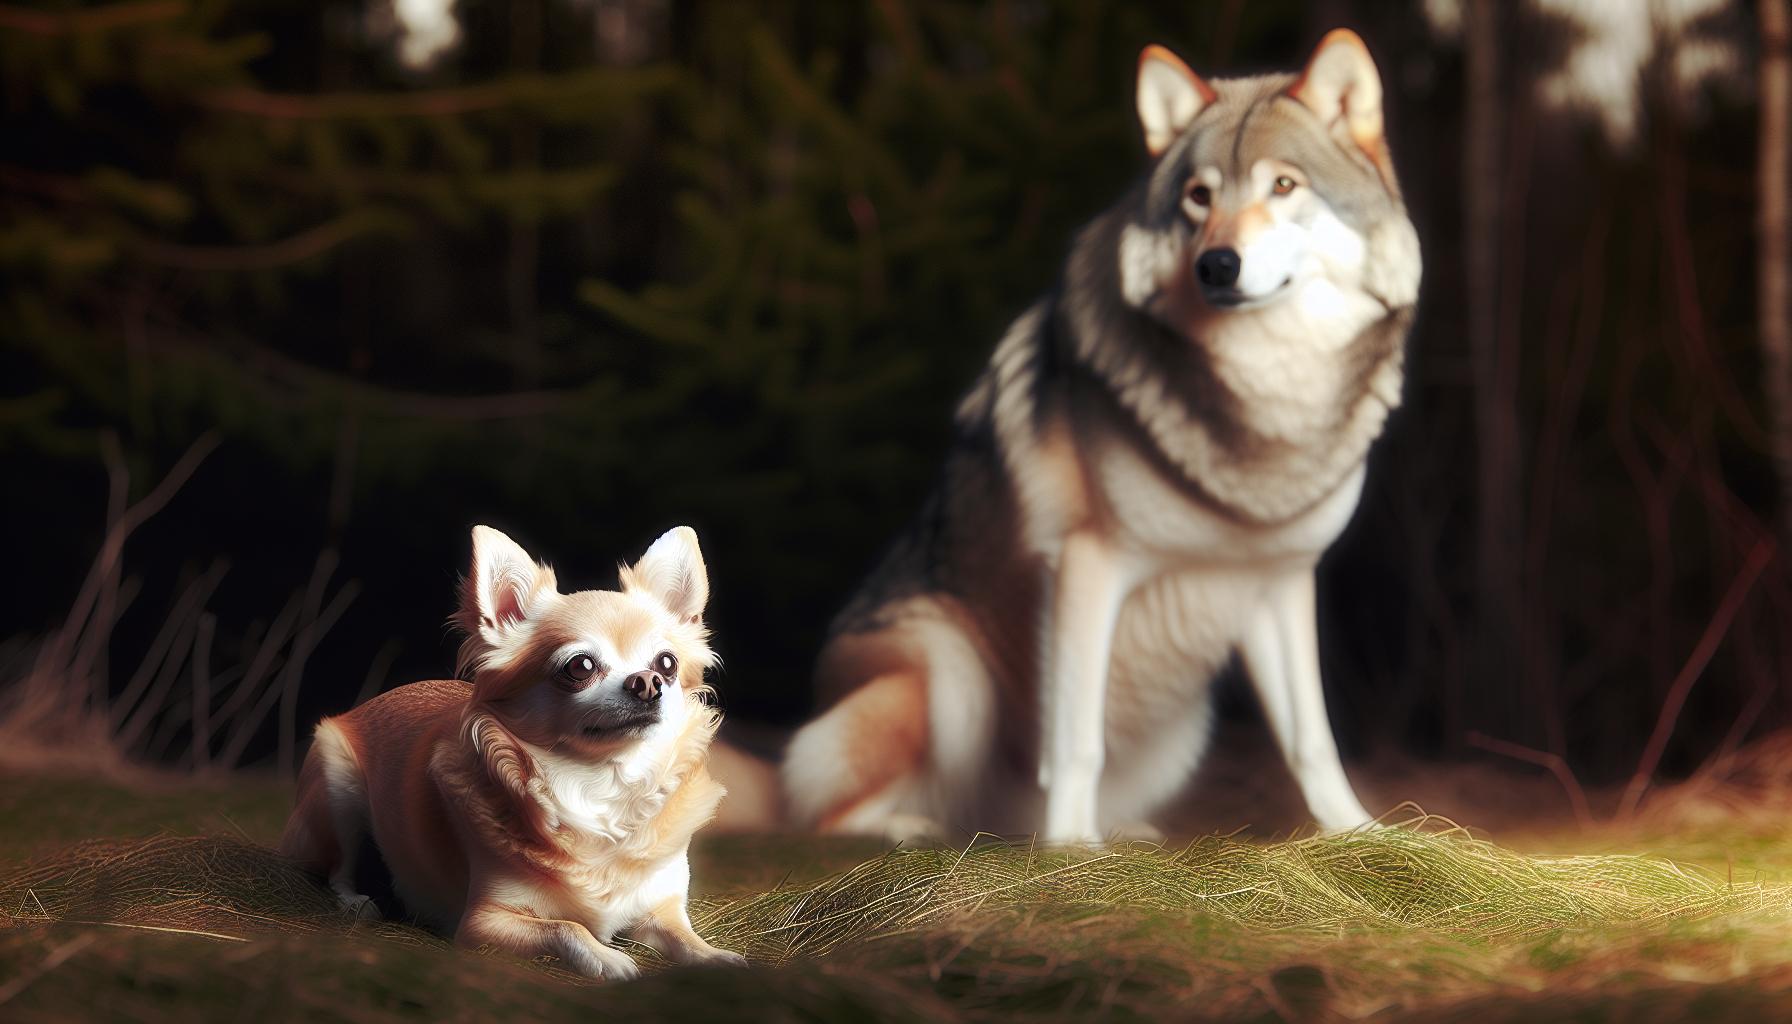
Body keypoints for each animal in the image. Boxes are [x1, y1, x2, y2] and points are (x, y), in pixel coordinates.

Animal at [780, 30, 1421, 843]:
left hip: (1179, 728)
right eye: (1199, 196)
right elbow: (1075, 738)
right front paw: (1069, 848)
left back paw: (1112, 833)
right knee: (820, 811)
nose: (1217, 264)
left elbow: (1311, 737)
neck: (1262, 407)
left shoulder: (1280, 582)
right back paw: (922, 831)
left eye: (1283, 186)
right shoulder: (1088, 565)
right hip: (951, 676)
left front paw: (1360, 832)